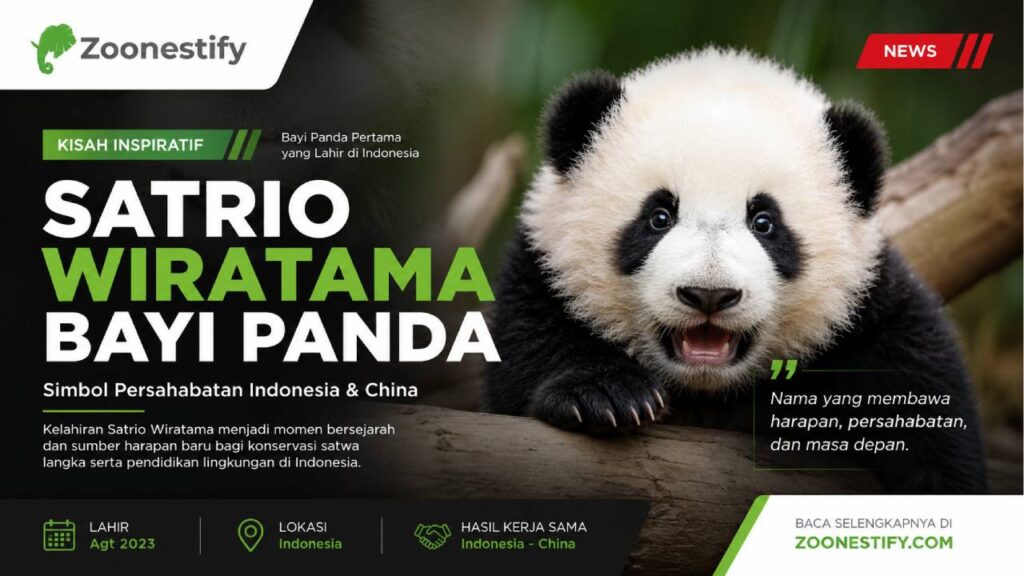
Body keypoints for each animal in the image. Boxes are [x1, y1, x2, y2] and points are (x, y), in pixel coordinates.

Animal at [483, 48, 987, 494]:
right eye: (659, 216)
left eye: (764, 222)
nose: (709, 294)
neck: (707, 389)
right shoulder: (544, 269)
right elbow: (531, 340)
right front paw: (604, 395)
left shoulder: (862, 307)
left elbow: (921, 389)